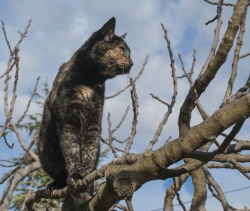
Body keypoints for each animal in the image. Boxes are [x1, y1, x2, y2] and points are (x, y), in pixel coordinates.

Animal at [37, 16, 133, 196]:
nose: (132, 62)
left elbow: (89, 148)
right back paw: (56, 184)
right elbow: (72, 150)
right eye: (122, 49)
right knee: (59, 173)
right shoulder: (68, 120)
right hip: (44, 149)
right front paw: (75, 175)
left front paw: (87, 172)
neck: (90, 81)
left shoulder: (94, 121)